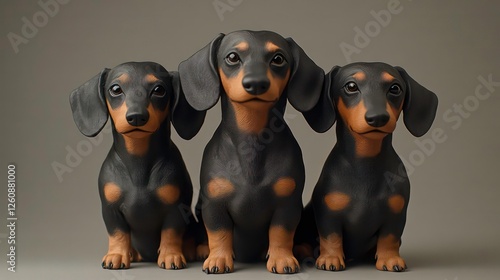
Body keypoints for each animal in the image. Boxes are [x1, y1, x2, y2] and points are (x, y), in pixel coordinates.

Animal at [68, 61, 205, 270]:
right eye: (115, 89)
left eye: (159, 90)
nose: (137, 116)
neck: (139, 162)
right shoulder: (110, 210)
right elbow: (117, 234)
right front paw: (116, 255)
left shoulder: (176, 208)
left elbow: (171, 233)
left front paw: (171, 255)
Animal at [178, 30, 326, 274]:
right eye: (232, 57)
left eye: (278, 58)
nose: (256, 84)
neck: (252, 140)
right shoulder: (214, 205)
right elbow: (219, 233)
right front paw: (218, 259)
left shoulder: (287, 204)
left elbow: (281, 233)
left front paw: (282, 259)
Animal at [300, 63, 438, 272]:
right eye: (351, 86)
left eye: (395, 88)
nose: (378, 117)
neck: (365, 164)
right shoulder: (328, 213)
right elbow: (331, 237)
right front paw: (330, 259)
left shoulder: (396, 214)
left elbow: (390, 238)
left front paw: (390, 259)